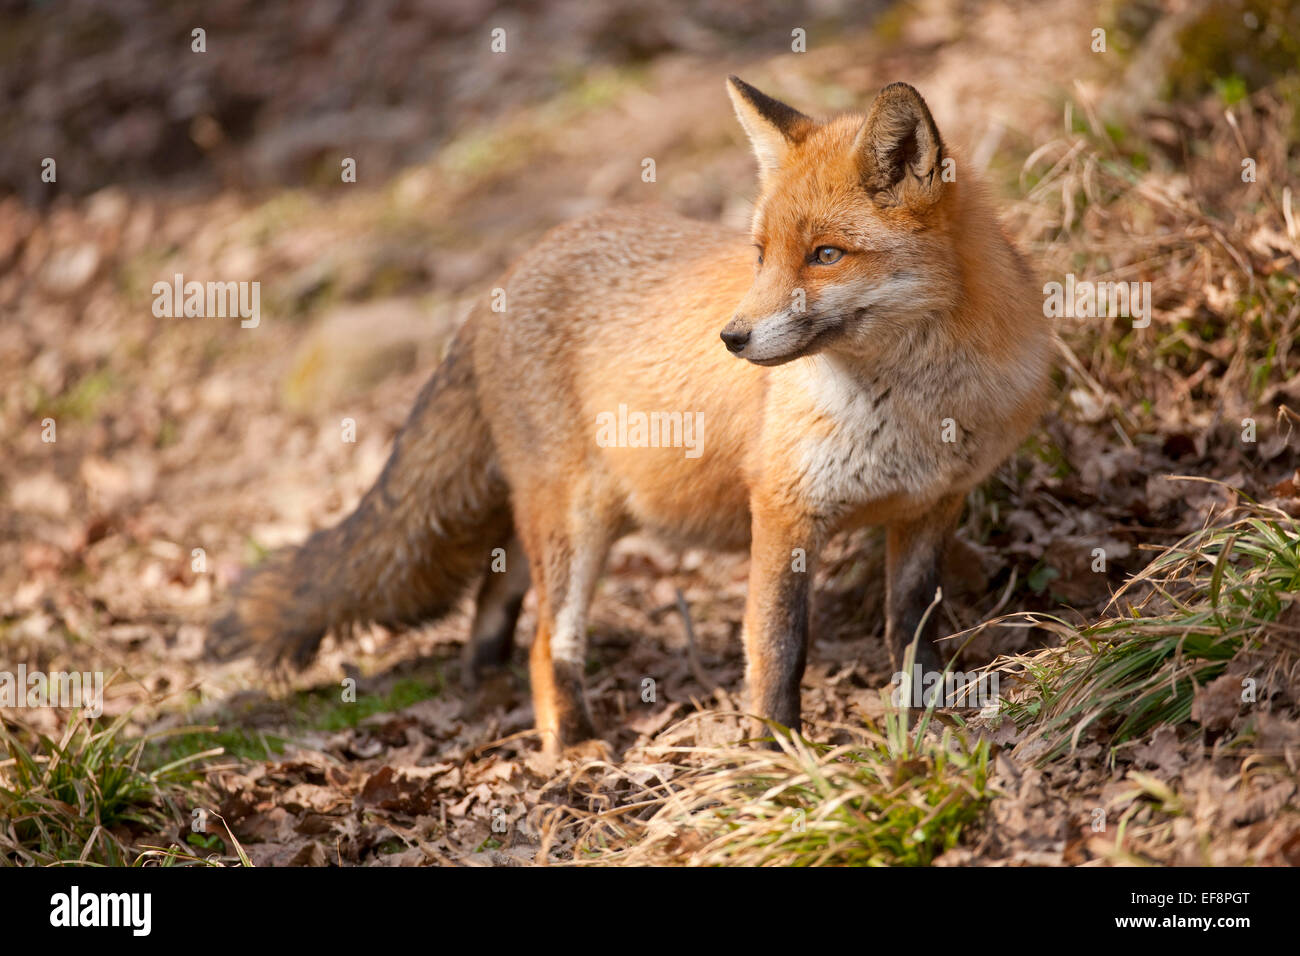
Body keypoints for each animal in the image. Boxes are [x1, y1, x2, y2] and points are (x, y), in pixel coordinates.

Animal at [211, 78, 1052, 753]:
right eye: (759, 254)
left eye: (825, 255)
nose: (732, 338)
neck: (917, 408)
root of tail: (498, 286)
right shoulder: (784, 512)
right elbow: (777, 651)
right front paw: (776, 758)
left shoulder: (930, 507)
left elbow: (914, 634)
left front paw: (925, 724)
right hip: (576, 521)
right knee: (549, 644)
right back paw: (572, 748)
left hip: (573, 518)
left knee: (498, 598)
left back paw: (483, 682)